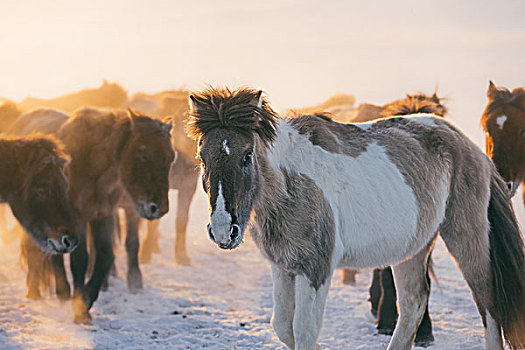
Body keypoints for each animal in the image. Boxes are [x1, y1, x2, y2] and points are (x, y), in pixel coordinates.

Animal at [9, 106, 174, 322]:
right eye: (143, 154)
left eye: (171, 157)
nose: (158, 208)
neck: (90, 164)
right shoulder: (77, 218)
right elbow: (80, 259)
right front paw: (80, 308)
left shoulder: (103, 216)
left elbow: (105, 256)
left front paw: (87, 298)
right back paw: (42, 291)